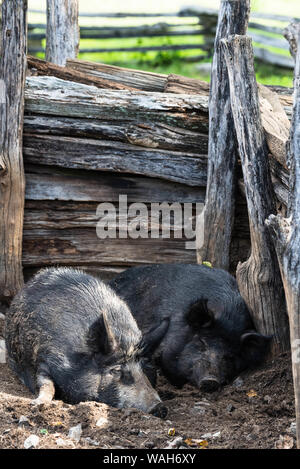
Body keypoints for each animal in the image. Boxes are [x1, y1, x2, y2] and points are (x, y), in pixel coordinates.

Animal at [5, 266, 169, 414]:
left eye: (146, 368)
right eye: (116, 370)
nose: (159, 407)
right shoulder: (44, 358)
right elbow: (46, 384)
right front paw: (37, 403)